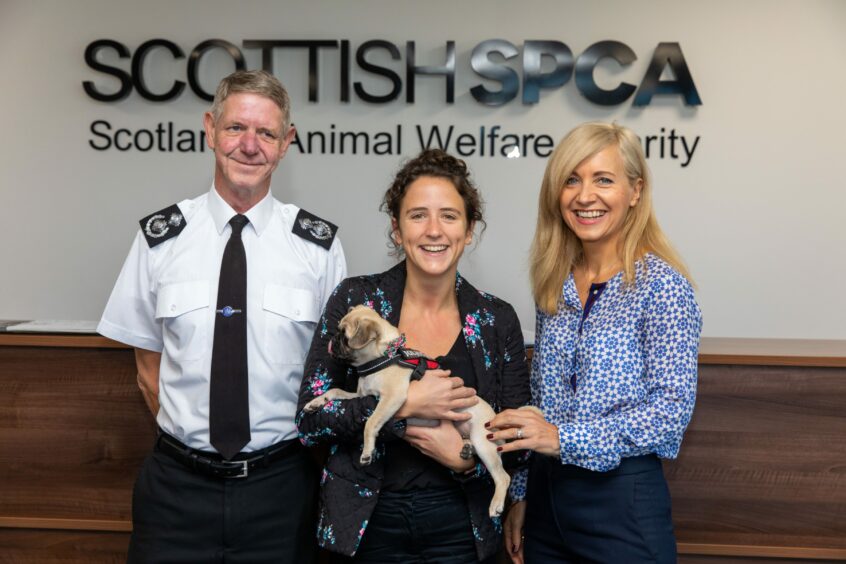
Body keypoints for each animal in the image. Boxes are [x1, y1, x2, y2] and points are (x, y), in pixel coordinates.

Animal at [304, 306, 540, 516]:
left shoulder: (392, 398)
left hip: (484, 442)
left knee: (502, 477)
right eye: (338, 331)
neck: (383, 358)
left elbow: (370, 422)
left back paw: (496, 504)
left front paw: (367, 451)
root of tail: (495, 418)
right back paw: (466, 450)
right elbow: (335, 391)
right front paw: (316, 402)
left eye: (344, 336)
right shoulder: (362, 396)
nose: (332, 339)